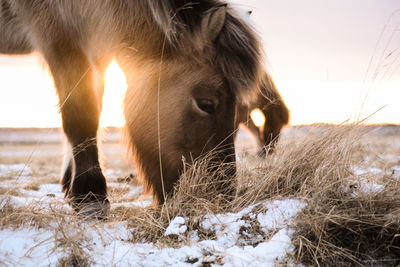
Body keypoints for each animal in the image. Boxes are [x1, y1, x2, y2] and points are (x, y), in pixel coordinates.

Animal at [0, 0, 266, 218]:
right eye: (206, 104)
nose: (219, 197)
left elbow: (95, 109)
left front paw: (72, 187)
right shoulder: (59, 37)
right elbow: (81, 111)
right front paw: (90, 194)